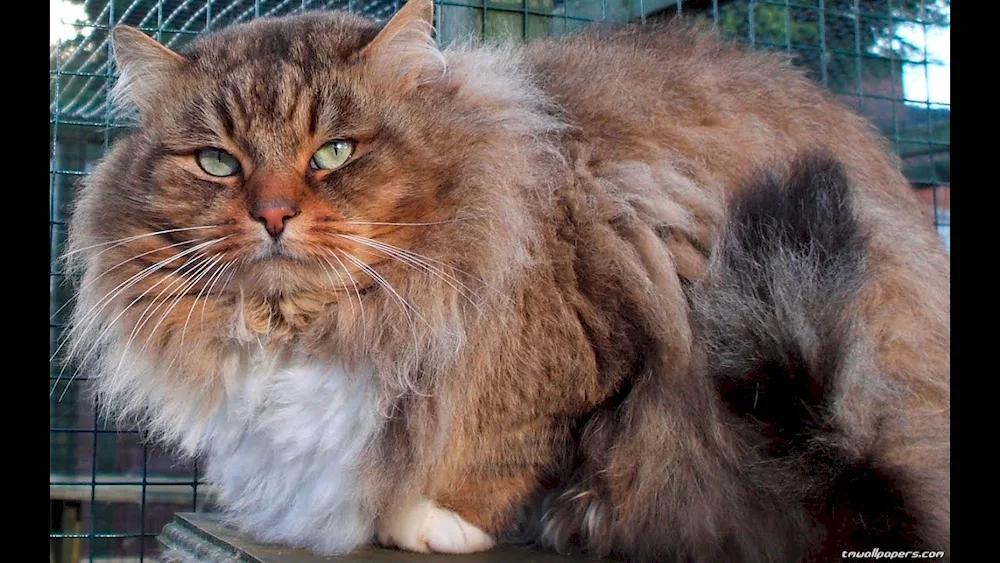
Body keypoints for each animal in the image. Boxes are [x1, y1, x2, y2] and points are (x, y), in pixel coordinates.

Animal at [58, 1, 948, 560]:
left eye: (334, 153)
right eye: (217, 161)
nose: (273, 214)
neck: (311, 324)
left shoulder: (590, 302)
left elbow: (505, 432)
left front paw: (436, 518)